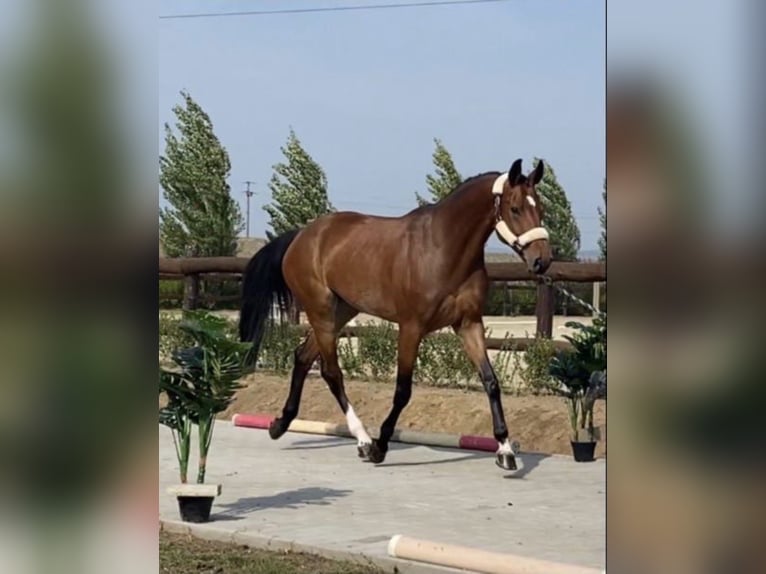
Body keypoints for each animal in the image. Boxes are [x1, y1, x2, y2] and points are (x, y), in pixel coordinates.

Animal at [240, 159, 552, 472]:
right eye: (515, 208)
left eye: (540, 208)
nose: (542, 261)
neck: (443, 248)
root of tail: (301, 236)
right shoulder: (411, 328)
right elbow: (403, 390)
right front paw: (380, 446)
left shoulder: (469, 324)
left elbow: (491, 381)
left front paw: (505, 450)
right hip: (322, 312)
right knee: (331, 372)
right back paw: (363, 441)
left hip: (340, 312)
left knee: (303, 357)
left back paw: (280, 424)